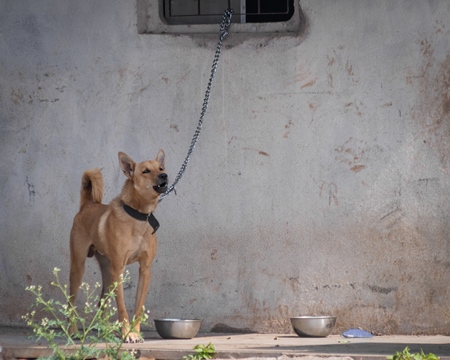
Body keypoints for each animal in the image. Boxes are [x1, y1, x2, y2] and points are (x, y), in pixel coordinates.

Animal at [69, 150, 168, 344]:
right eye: (145, 171)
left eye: (161, 168)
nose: (164, 176)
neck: (139, 217)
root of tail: (87, 205)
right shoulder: (119, 270)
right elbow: (122, 308)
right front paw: (127, 334)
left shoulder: (145, 269)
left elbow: (138, 307)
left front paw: (135, 333)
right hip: (79, 267)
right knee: (71, 302)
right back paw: (72, 331)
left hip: (108, 273)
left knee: (102, 303)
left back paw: (107, 331)